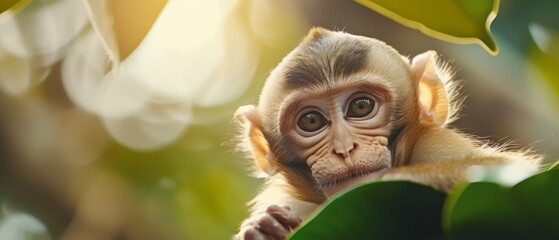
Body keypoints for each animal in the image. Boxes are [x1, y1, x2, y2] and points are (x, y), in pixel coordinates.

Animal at [233, 27, 544, 239]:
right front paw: (261, 228)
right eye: (311, 121)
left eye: (361, 106)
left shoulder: (435, 145)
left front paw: (396, 177)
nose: (344, 148)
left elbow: (506, 170)